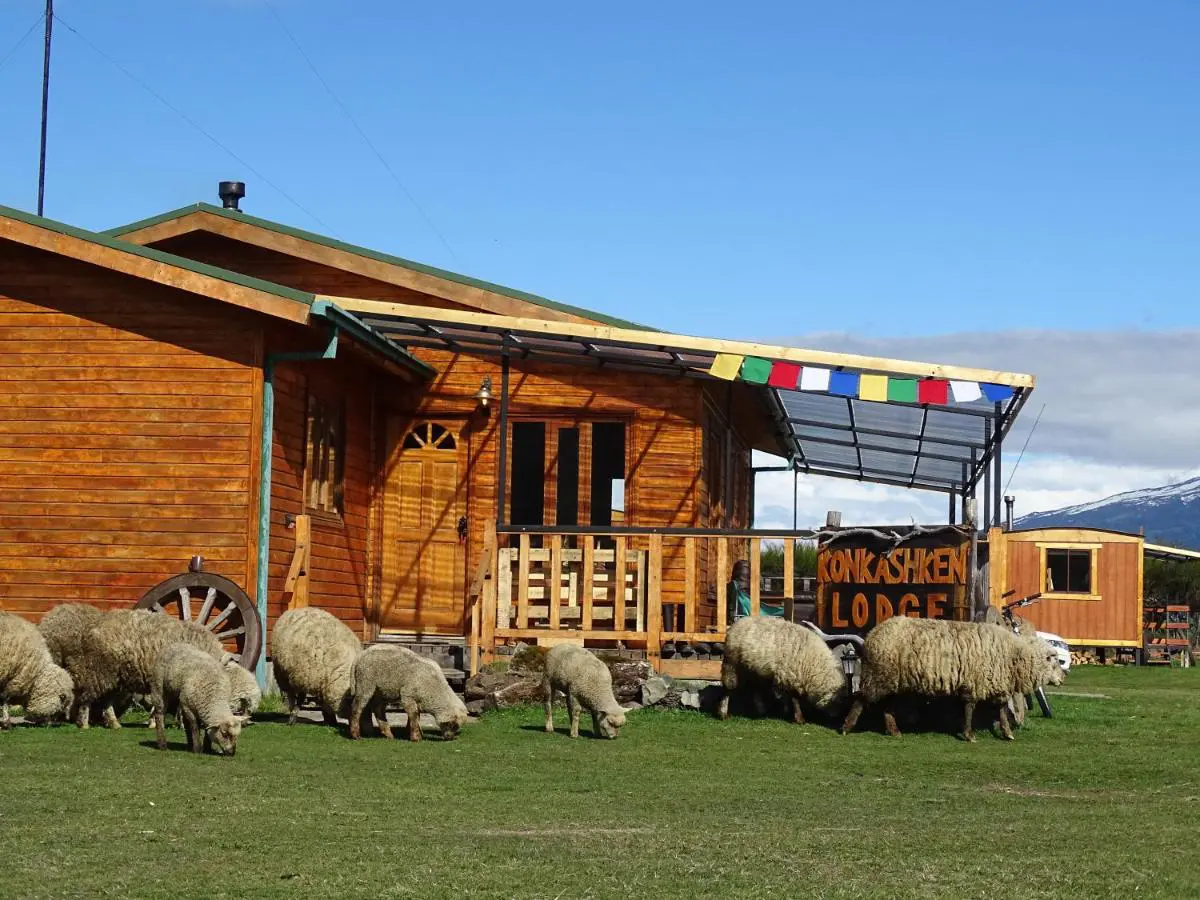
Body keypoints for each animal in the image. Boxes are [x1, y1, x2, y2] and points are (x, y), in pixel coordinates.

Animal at [72, 609, 225, 729]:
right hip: (97, 670)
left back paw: (114, 723)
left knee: (106, 701)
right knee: (87, 697)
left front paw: (154, 722)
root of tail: (92, 626)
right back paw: (83, 723)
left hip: (113, 676)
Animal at [715, 619, 849, 724]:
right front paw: (799, 719)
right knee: (729, 689)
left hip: (753, 670)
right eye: (840, 700)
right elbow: (795, 699)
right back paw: (723, 714)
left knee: (755, 688)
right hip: (732, 665)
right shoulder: (791, 676)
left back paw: (761, 711)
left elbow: (788, 697)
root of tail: (735, 625)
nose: (836, 718)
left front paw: (786, 712)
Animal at [840, 619, 1065, 744]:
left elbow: (1001, 710)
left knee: (887, 706)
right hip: (879, 675)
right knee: (861, 699)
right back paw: (846, 727)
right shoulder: (976, 682)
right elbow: (970, 708)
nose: (1064, 677)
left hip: (891, 680)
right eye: (1053, 658)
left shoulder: (995, 683)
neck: (1013, 654)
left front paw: (1007, 734)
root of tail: (872, 634)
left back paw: (894, 731)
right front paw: (969, 735)